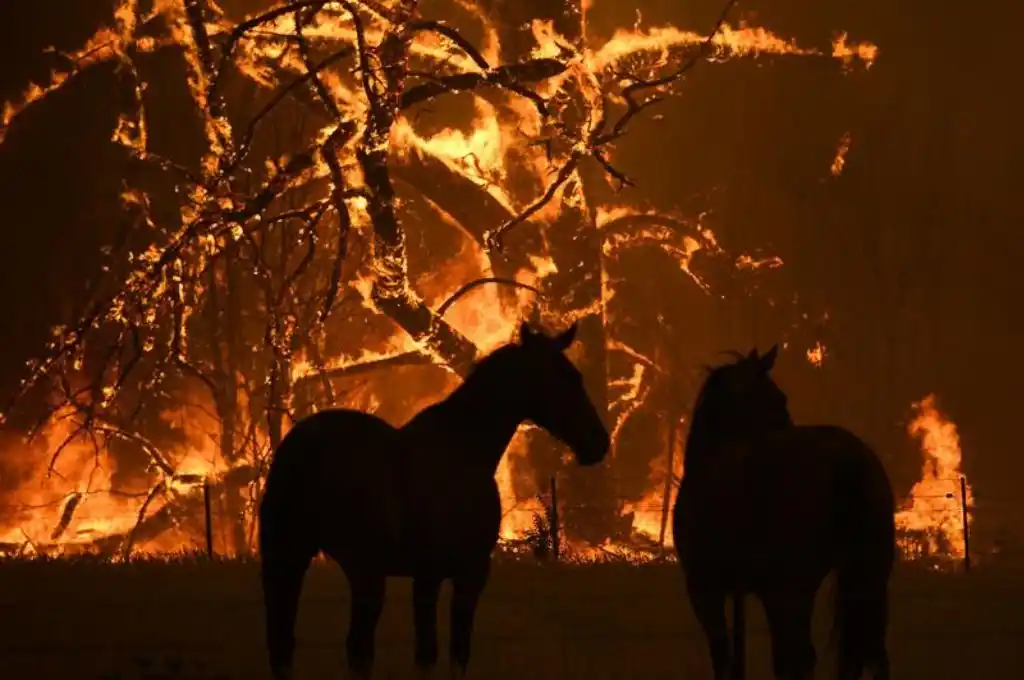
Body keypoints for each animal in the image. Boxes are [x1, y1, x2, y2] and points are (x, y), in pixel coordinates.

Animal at [258, 321, 610, 680]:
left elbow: (442, 654)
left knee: (313, 646)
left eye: (576, 376)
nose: (598, 441)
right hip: (328, 564)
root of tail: (297, 447)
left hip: (325, 562)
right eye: (561, 379)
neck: (462, 451)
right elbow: (441, 654)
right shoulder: (449, 573)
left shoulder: (448, 575)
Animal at [672, 345, 896, 680]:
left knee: (799, 656)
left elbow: (724, 657)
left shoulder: (705, 589)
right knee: (862, 654)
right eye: (779, 399)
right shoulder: (739, 593)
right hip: (864, 579)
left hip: (790, 588)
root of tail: (848, 457)